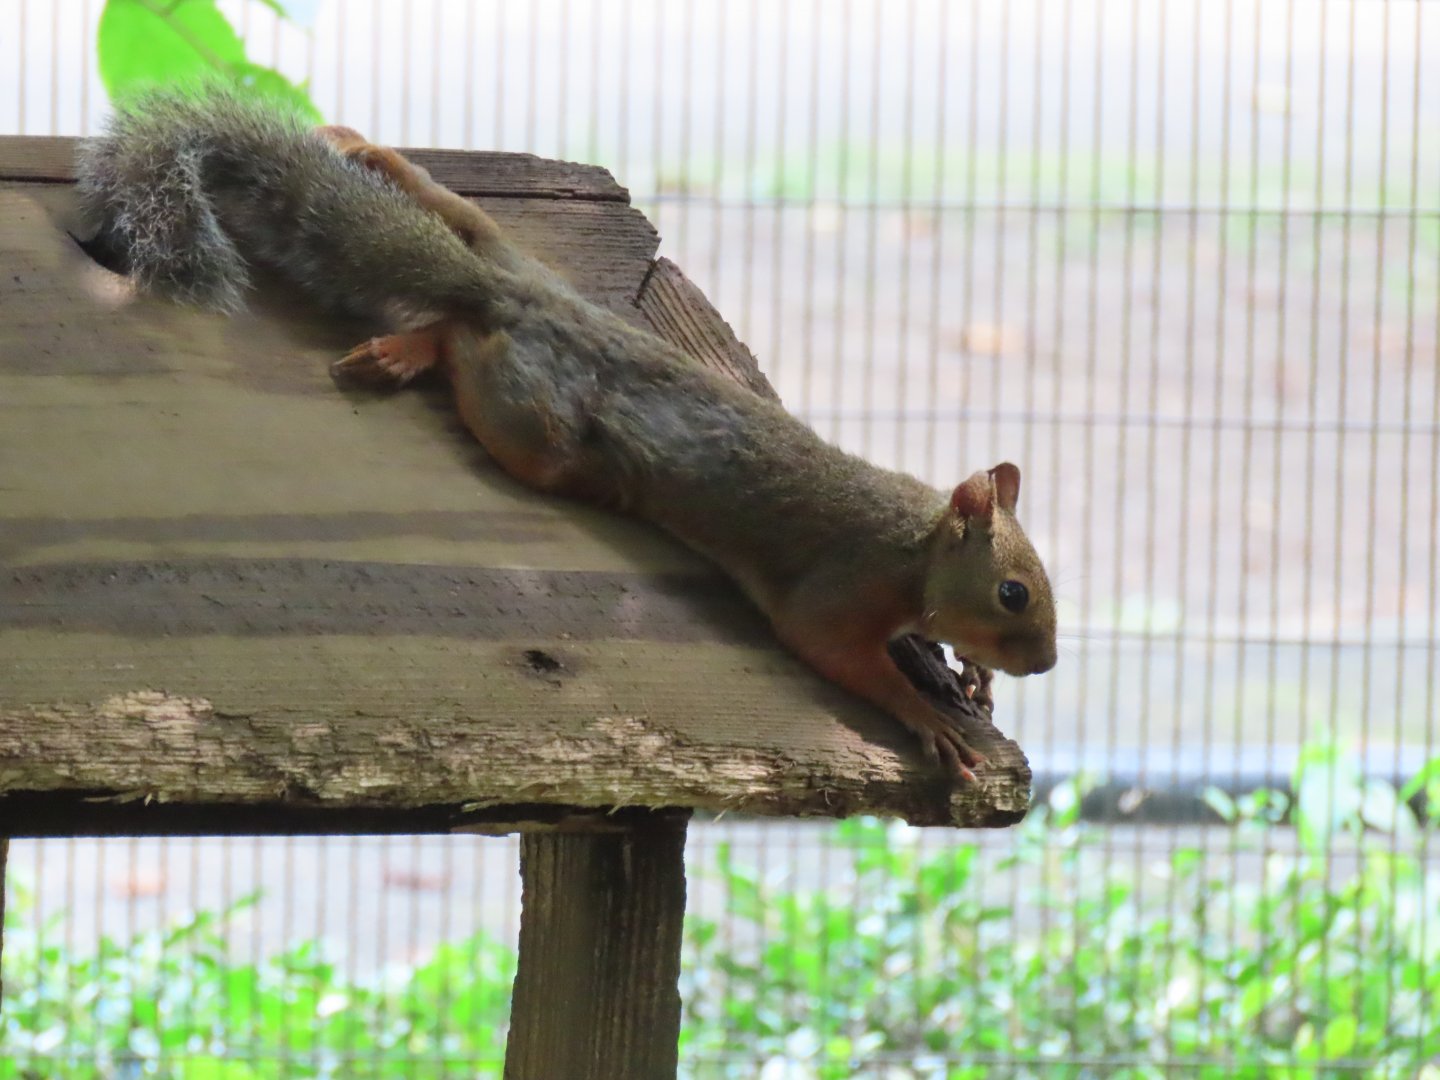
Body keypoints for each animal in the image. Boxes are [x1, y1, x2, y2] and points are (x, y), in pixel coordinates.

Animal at [76, 86, 1058, 781]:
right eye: (1013, 593)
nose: (1045, 665)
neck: (914, 542)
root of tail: (515, 295)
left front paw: (968, 680)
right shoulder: (841, 588)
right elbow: (836, 652)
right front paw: (929, 715)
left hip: (507, 256)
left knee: (459, 214)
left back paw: (367, 153)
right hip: (531, 426)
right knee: (461, 340)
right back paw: (412, 343)